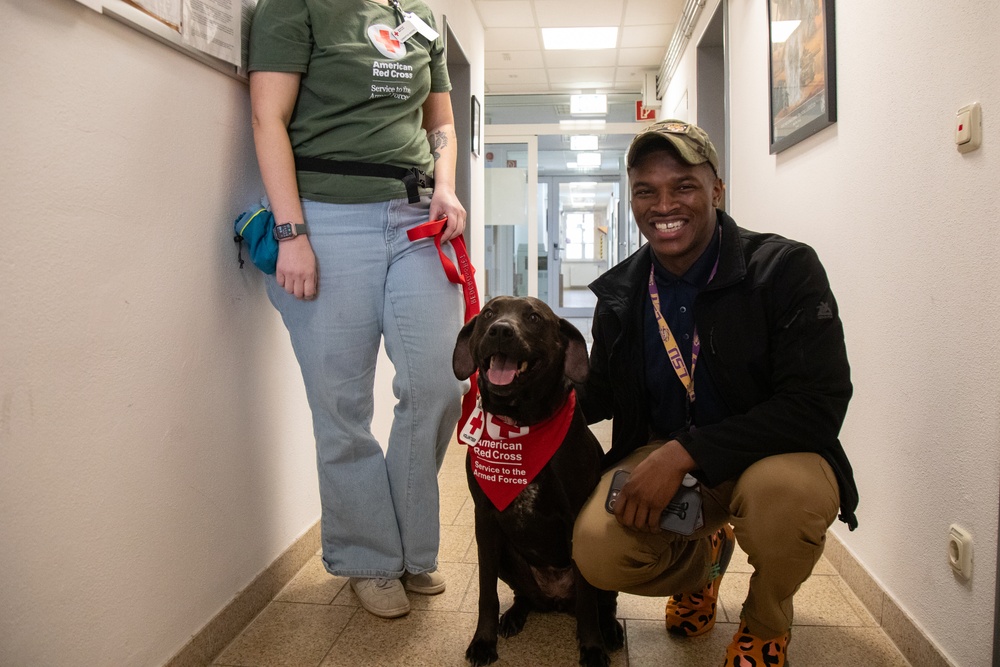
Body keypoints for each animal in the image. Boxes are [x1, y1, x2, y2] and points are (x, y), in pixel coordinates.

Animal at [456, 298, 624, 667]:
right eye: (488, 313)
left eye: (533, 317)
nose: (500, 330)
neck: (519, 423)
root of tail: (556, 598)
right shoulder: (484, 518)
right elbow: (486, 593)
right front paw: (484, 640)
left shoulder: (576, 518)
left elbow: (588, 602)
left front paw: (592, 647)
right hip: (508, 559)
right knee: (524, 596)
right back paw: (513, 616)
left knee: (602, 602)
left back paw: (610, 630)